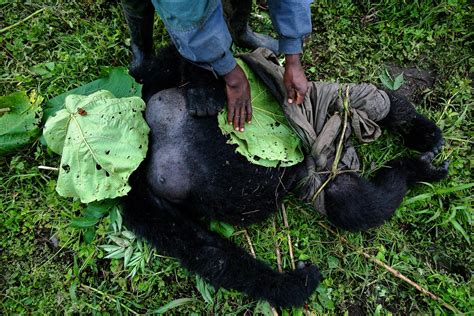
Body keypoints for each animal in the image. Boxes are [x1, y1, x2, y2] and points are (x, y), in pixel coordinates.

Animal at [121, 45, 448, 308]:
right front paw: (290, 285)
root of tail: (342, 145)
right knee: (352, 203)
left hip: (319, 107)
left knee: (364, 100)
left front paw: (207, 89)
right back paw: (414, 168)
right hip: (321, 169)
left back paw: (420, 133)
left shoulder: (148, 83)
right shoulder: (139, 198)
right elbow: (207, 251)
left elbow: (180, 57)